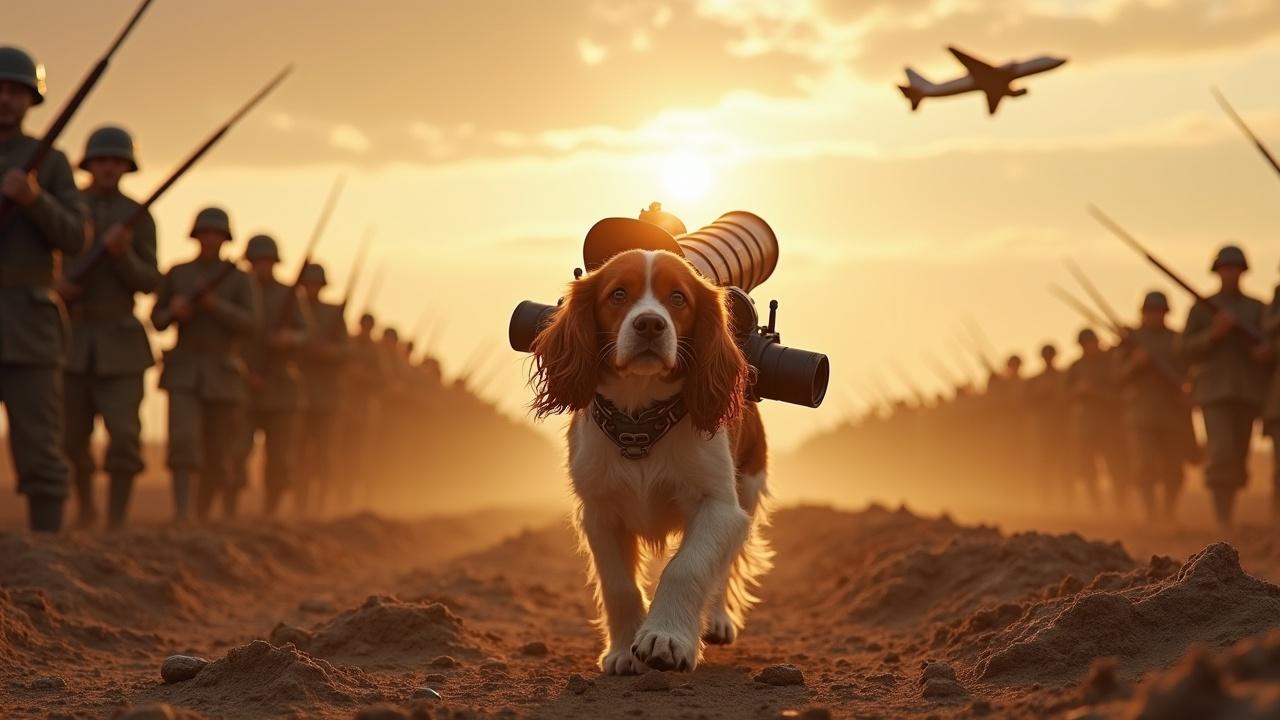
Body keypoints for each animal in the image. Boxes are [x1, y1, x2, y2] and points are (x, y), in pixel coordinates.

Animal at [529, 248, 768, 671]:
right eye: (618, 294)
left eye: (678, 298)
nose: (650, 324)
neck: (640, 421)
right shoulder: (599, 511)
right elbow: (619, 585)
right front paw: (625, 651)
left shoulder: (720, 507)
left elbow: (686, 568)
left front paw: (666, 638)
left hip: (750, 488)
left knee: (724, 567)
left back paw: (717, 621)